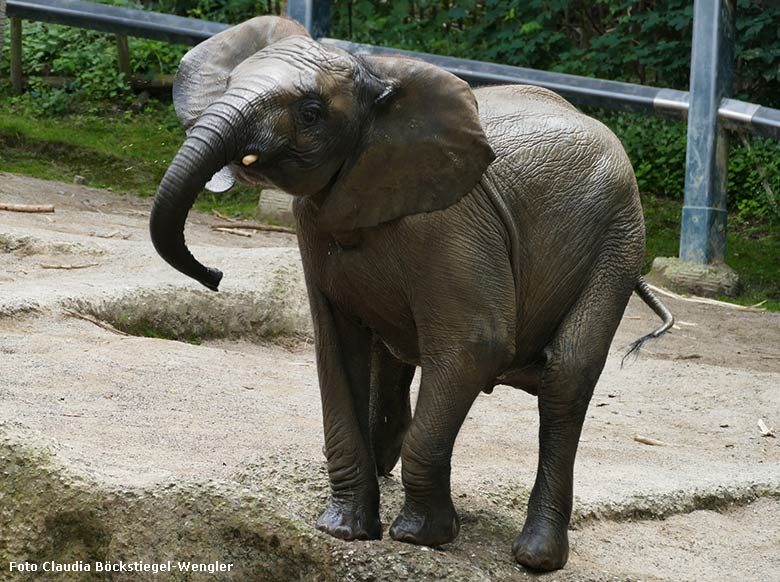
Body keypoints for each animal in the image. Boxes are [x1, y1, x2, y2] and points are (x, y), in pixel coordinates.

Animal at [149, 16, 672, 572]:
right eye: (228, 85)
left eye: (310, 113)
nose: (215, 274)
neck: (375, 77)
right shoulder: (313, 222)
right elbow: (336, 352)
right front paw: (343, 530)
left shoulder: (449, 225)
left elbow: (476, 345)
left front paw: (419, 538)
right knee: (395, 357)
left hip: (617, 240)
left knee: (566, 377)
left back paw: (535, 556)